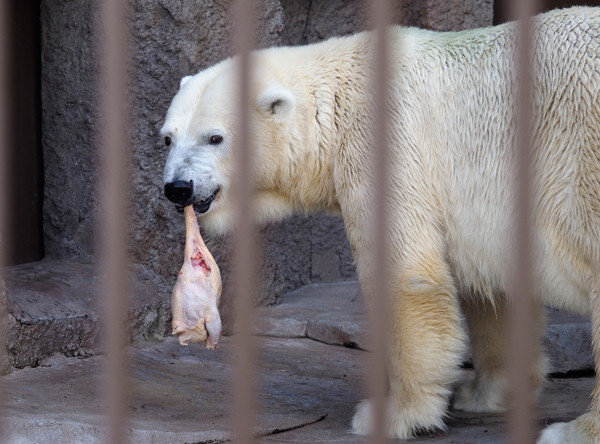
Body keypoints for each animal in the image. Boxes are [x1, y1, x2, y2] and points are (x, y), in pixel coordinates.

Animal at [162, 7, 600, 444]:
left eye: (215, 137)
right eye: (168, 137)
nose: (178, 187)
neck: (336, 101)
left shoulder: (388, 143)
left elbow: (406, 275)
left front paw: (392, 415)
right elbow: (493, 288)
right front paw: (482, 392)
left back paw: (573, 430)